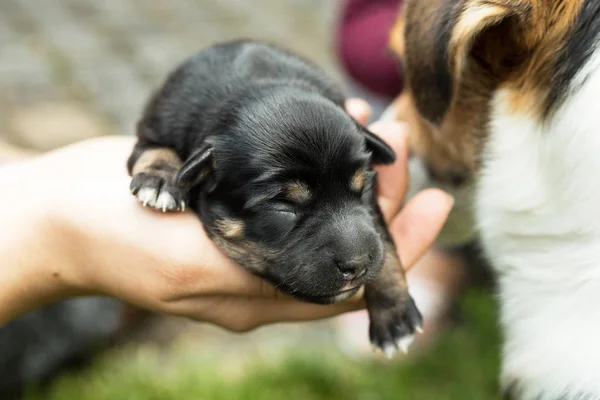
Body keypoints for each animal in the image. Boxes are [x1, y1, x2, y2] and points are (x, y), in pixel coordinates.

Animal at [126, 39, 422, 354]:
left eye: (363, 186)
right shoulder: (157, 124)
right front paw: (161, 180)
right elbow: (155, 148)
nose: (357, 265)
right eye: (283, 206)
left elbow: (382, 238)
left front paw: (394, 315)